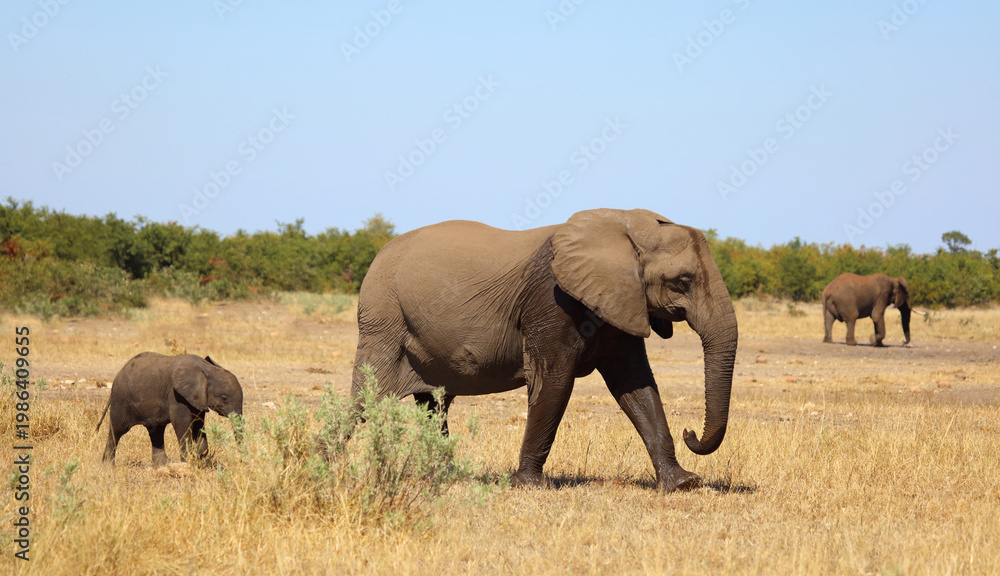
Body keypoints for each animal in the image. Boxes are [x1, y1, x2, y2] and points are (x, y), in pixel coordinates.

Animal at [97, 352, 244, 466]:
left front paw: (198, 455)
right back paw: (108, 466)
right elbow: (182, 424)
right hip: (121, 399)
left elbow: (198, 424)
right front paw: (188, 462)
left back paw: (164, 464)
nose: (242, 462)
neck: (207, 369)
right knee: (117, 431)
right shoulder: (176, 395)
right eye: (224, 398)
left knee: (156, 431)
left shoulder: (198, 399)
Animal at [347, 208, 739, 492]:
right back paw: (334, 459)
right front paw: (529, 486)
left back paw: (444, 476)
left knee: (433, 406)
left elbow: (636, 386)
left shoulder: (620, 302)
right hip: (383, 321)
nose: (691, 433)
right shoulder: (553, 301)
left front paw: (682, 483)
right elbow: (554, 381)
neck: (622, 227)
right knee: (363, 400)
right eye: (683, 282)